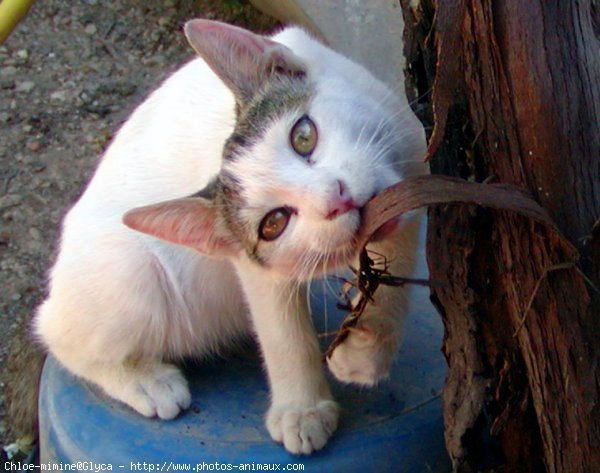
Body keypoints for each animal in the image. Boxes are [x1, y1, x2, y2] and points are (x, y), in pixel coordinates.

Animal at [31, 18, 426, 454]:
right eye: (273, 223)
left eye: (303, 136)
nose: (335, 199)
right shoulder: (255, 267)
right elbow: (282, 333)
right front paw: (301, 410)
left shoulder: (412, 155)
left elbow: (394, 260)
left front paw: (366, 351)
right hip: (129, 272)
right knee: (55, 335)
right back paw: (146, 382)